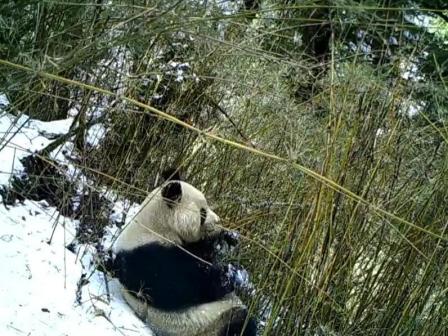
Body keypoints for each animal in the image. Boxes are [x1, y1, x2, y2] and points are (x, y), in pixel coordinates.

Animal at [111, 171, 256, 336]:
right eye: (203, 212)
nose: (218, 221)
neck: (157, 227)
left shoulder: (190, 246)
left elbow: (206, 253)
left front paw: (228, 240)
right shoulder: (147, 258)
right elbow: (183, 287)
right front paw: (230, 274)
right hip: (210, 323)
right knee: (239, 323)